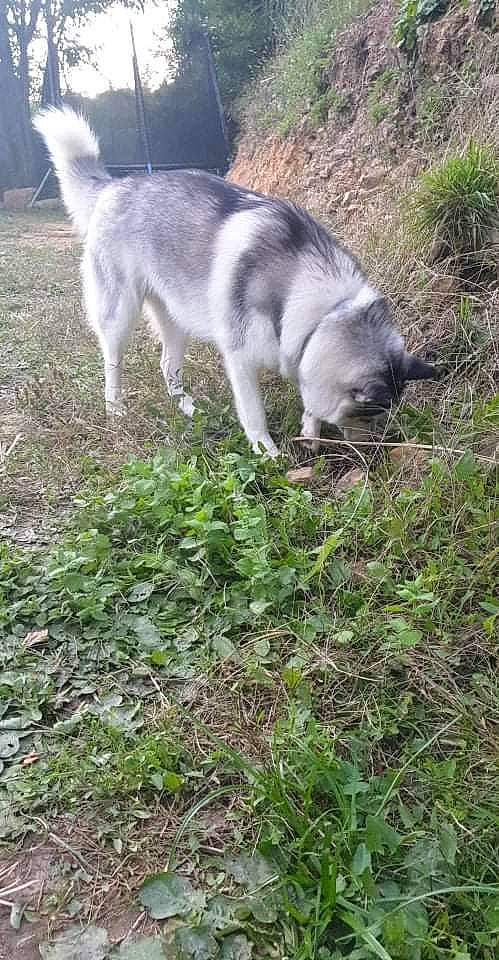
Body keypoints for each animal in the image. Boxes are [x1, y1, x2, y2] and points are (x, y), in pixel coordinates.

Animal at [33, 106, 437, 457]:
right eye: (365, 415)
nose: (371, 451)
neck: (324, 308)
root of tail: (116, 186)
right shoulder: (240, 358)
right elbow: (254, 414)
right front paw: (267, 452)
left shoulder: (297, 347)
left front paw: (309, 431)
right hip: (120, 315)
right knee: (112, 361)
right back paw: (115, 409)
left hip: (177, 317)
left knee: (167, 366)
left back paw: (189, 408)